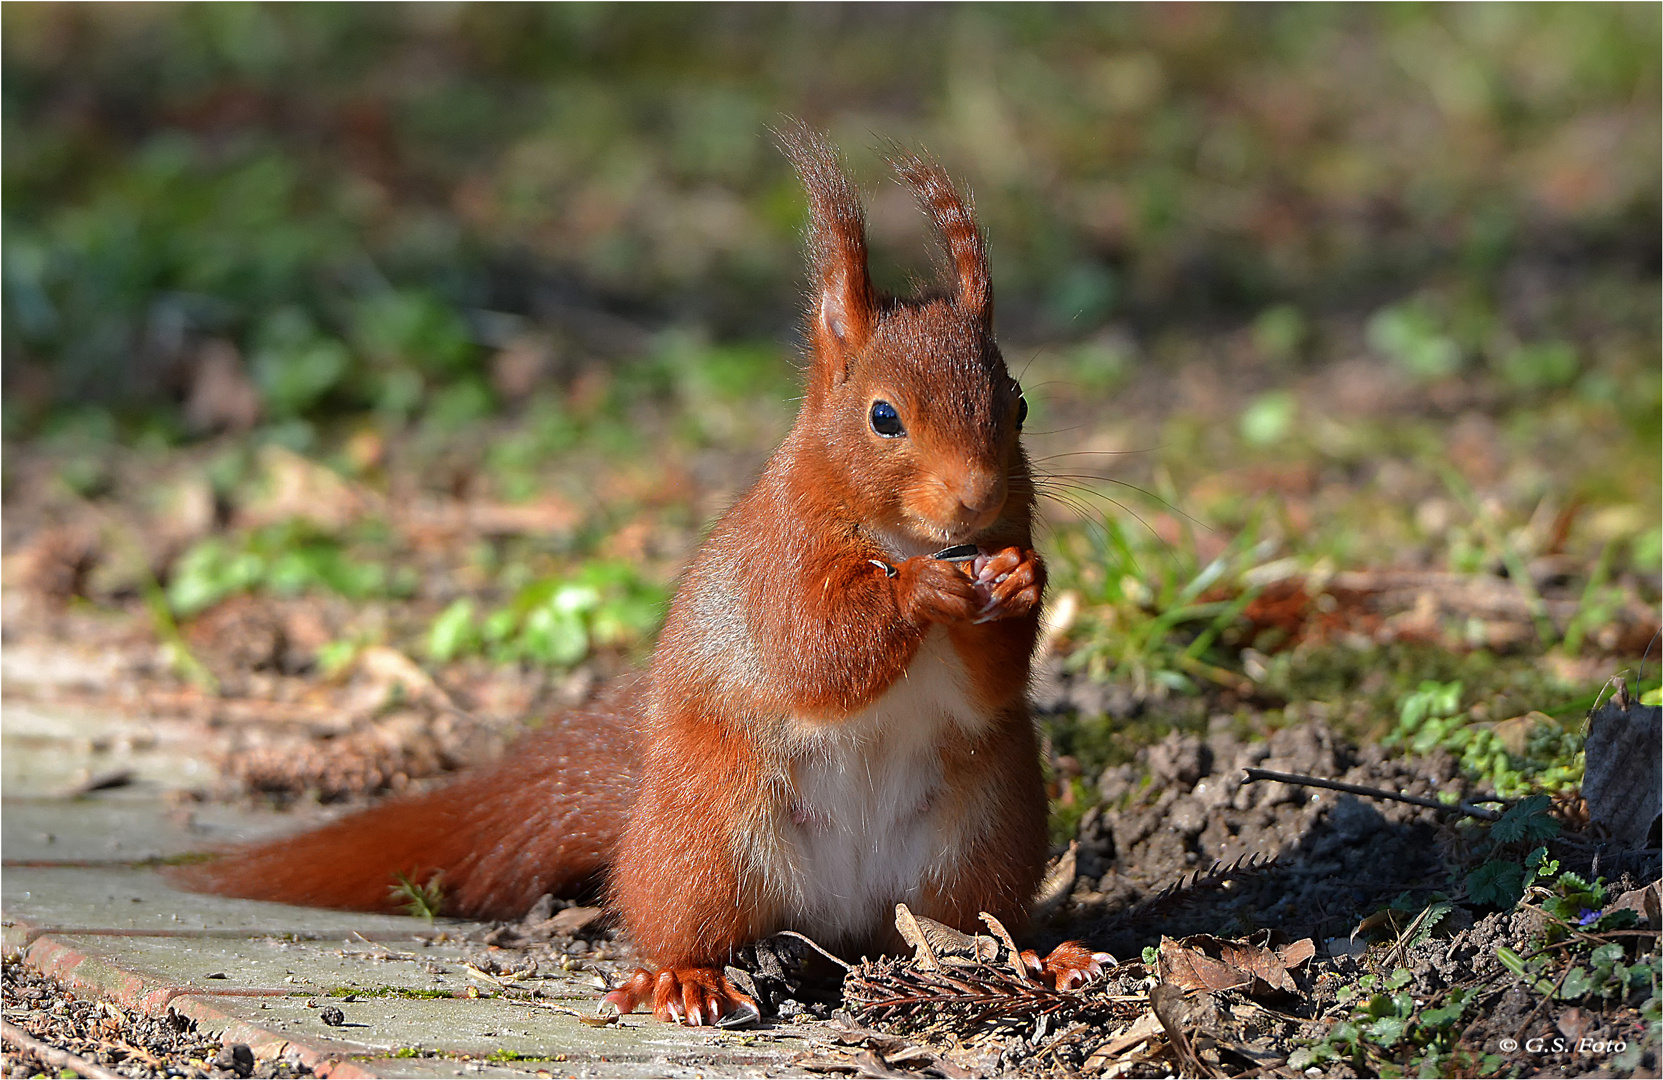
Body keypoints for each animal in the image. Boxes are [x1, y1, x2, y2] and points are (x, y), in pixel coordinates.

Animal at [175, 123, 1104, 1018]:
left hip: (982, 837)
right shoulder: (775, 562)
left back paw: (1042, 957)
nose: (976, 498)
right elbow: (813, 649)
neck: (903, 536)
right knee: (677, 918)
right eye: (883, 418)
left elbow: (991, 679)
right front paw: (920, 591)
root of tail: (842, 920)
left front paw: (1019, 578)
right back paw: (685, 978)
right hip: (711, 836)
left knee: (976, 921)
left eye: (1019, 405)